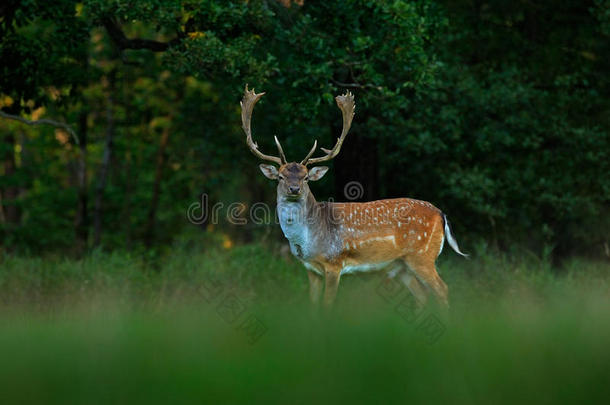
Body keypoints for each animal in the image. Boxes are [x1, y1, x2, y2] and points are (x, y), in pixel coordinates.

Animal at [239, 84, 466, 306]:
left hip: (422, 255)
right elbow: (313, 306)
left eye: (305, 178)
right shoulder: (310, 269)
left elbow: (327, 305)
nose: (294, 189)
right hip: (402, 265)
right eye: (280, 176)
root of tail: (441, 214)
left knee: (442, 289)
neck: (309, 240)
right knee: (422, 295)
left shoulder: (334, 263)